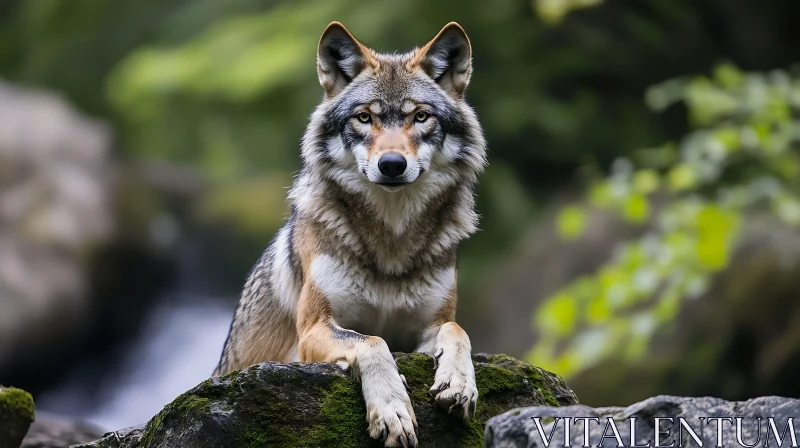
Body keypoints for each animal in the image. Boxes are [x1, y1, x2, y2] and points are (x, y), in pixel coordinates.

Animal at [214, 21, 488, 448]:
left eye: (420, 116)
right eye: (364, 117)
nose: (391, 164)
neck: (391, 244)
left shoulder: (427, 328)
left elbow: (457, 331)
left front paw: (459, 382)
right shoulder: (313, 331)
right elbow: (372, 342)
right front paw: (392, 411)